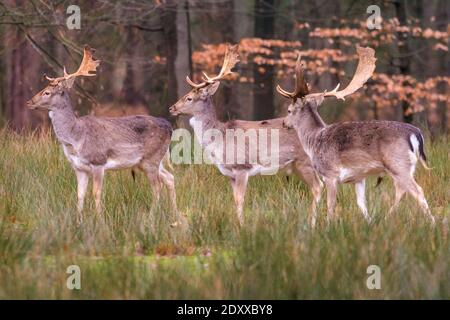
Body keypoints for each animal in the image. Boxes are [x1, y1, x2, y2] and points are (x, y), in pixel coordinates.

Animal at [26, 45, 180, 225]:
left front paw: (100, 222)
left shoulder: (98, 162)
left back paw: (150, 218)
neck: (75, 137)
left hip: (151, 158)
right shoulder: (79, 167)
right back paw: (175, 216)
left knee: (157, 187)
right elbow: (79, 195)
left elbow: (96, 193)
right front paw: (78, 222)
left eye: (47, 92)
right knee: (169, 178)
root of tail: (169, 126)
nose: (29, 102)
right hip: (150, 161)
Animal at [168, 43, 320, 226]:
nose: (172, 108)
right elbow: (235, 200)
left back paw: (314, 224)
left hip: (306, 161)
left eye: (189, 98)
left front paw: (242, 227)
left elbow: (240, 200)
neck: (220, 138)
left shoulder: (242, 167)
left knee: (318, 188)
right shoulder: (230, 174)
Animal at [280, 45, 434, 222]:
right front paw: (368, 222)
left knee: (417, 191)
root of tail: (416, 133)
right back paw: (386, 219)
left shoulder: (330, 174)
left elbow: (330, 205)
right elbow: (361, 204)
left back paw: (432, 222)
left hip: (398, 163)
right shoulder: (358, 178)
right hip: (407, 166)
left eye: (289, 110)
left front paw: (328, 224)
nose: (284, 123)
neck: (313, 141)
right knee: (401, 191)